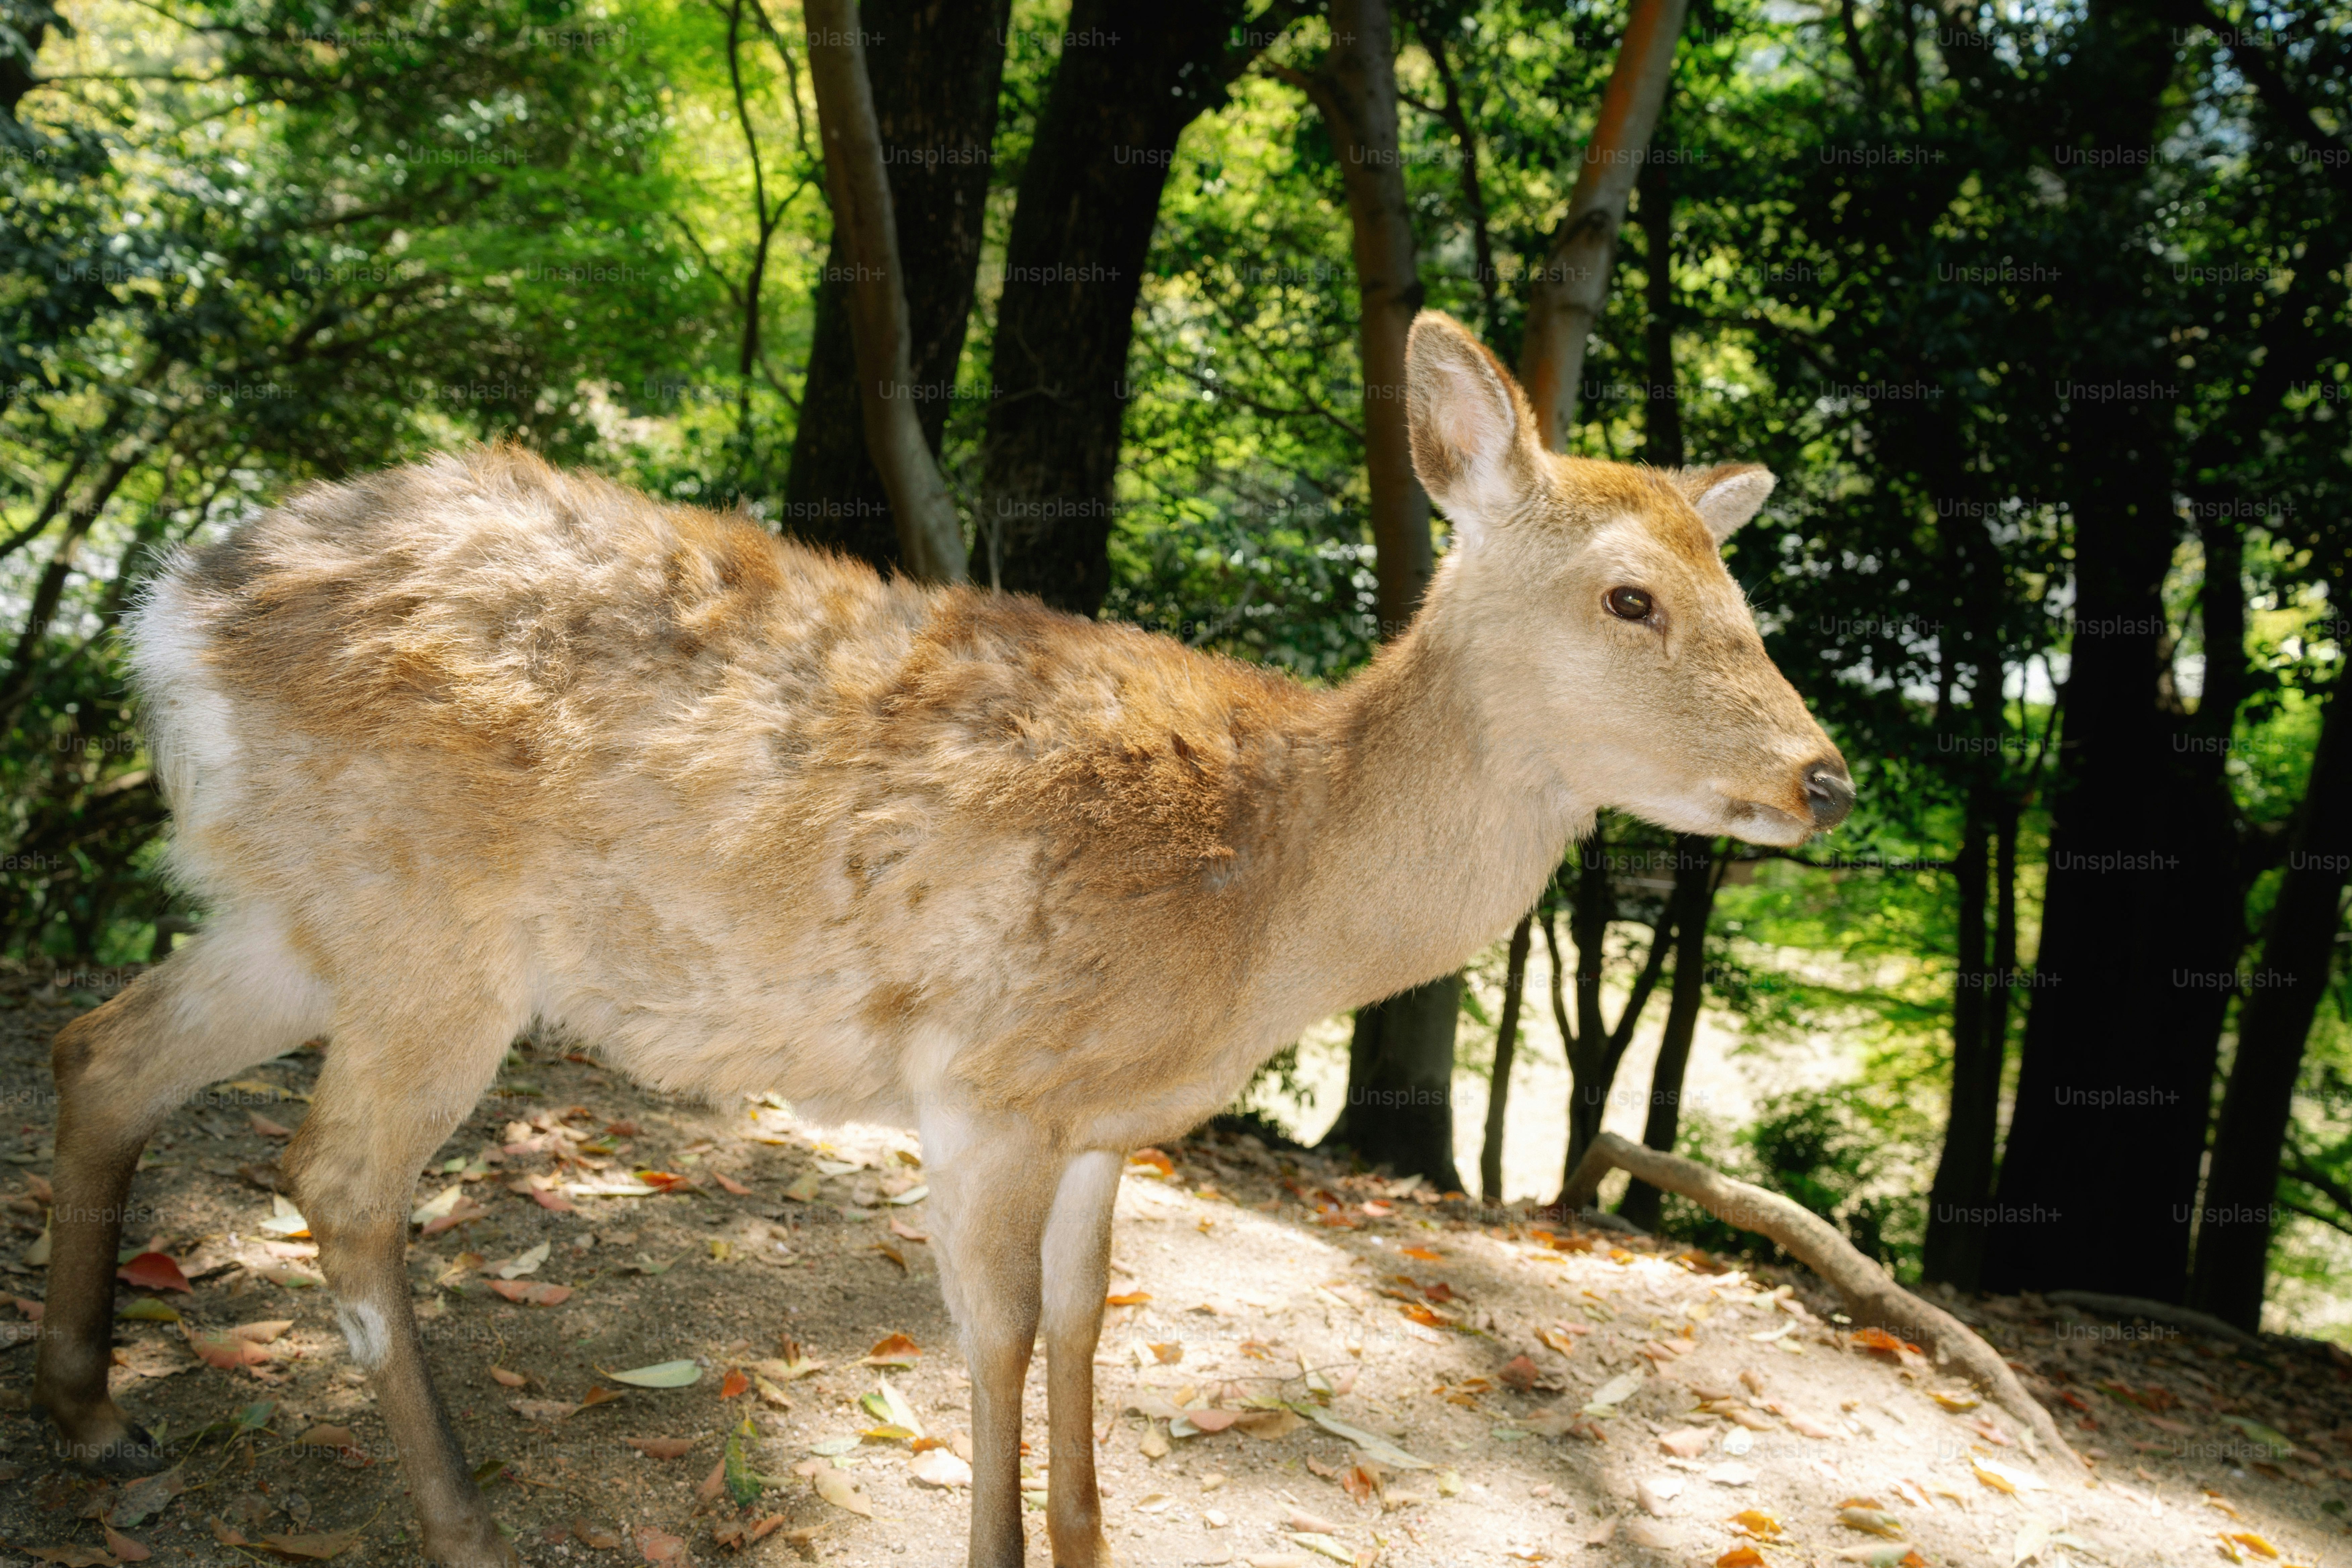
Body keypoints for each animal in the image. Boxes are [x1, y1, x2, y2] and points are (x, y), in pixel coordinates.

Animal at [35, 311, 1850, 1568]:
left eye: (1740, 593)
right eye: (1630, 596)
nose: (1823, 776)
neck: (1274, 896)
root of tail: (169, 609)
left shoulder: (1104, 1120)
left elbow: (1087, 1317)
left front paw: (1095, 1539)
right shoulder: (985, 1072)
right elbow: (996, 1330)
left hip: (295, 905)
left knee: (100, 1045)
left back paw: (100, 1423)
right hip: (430, 923)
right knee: (334, 1174)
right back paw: (463, 1520)